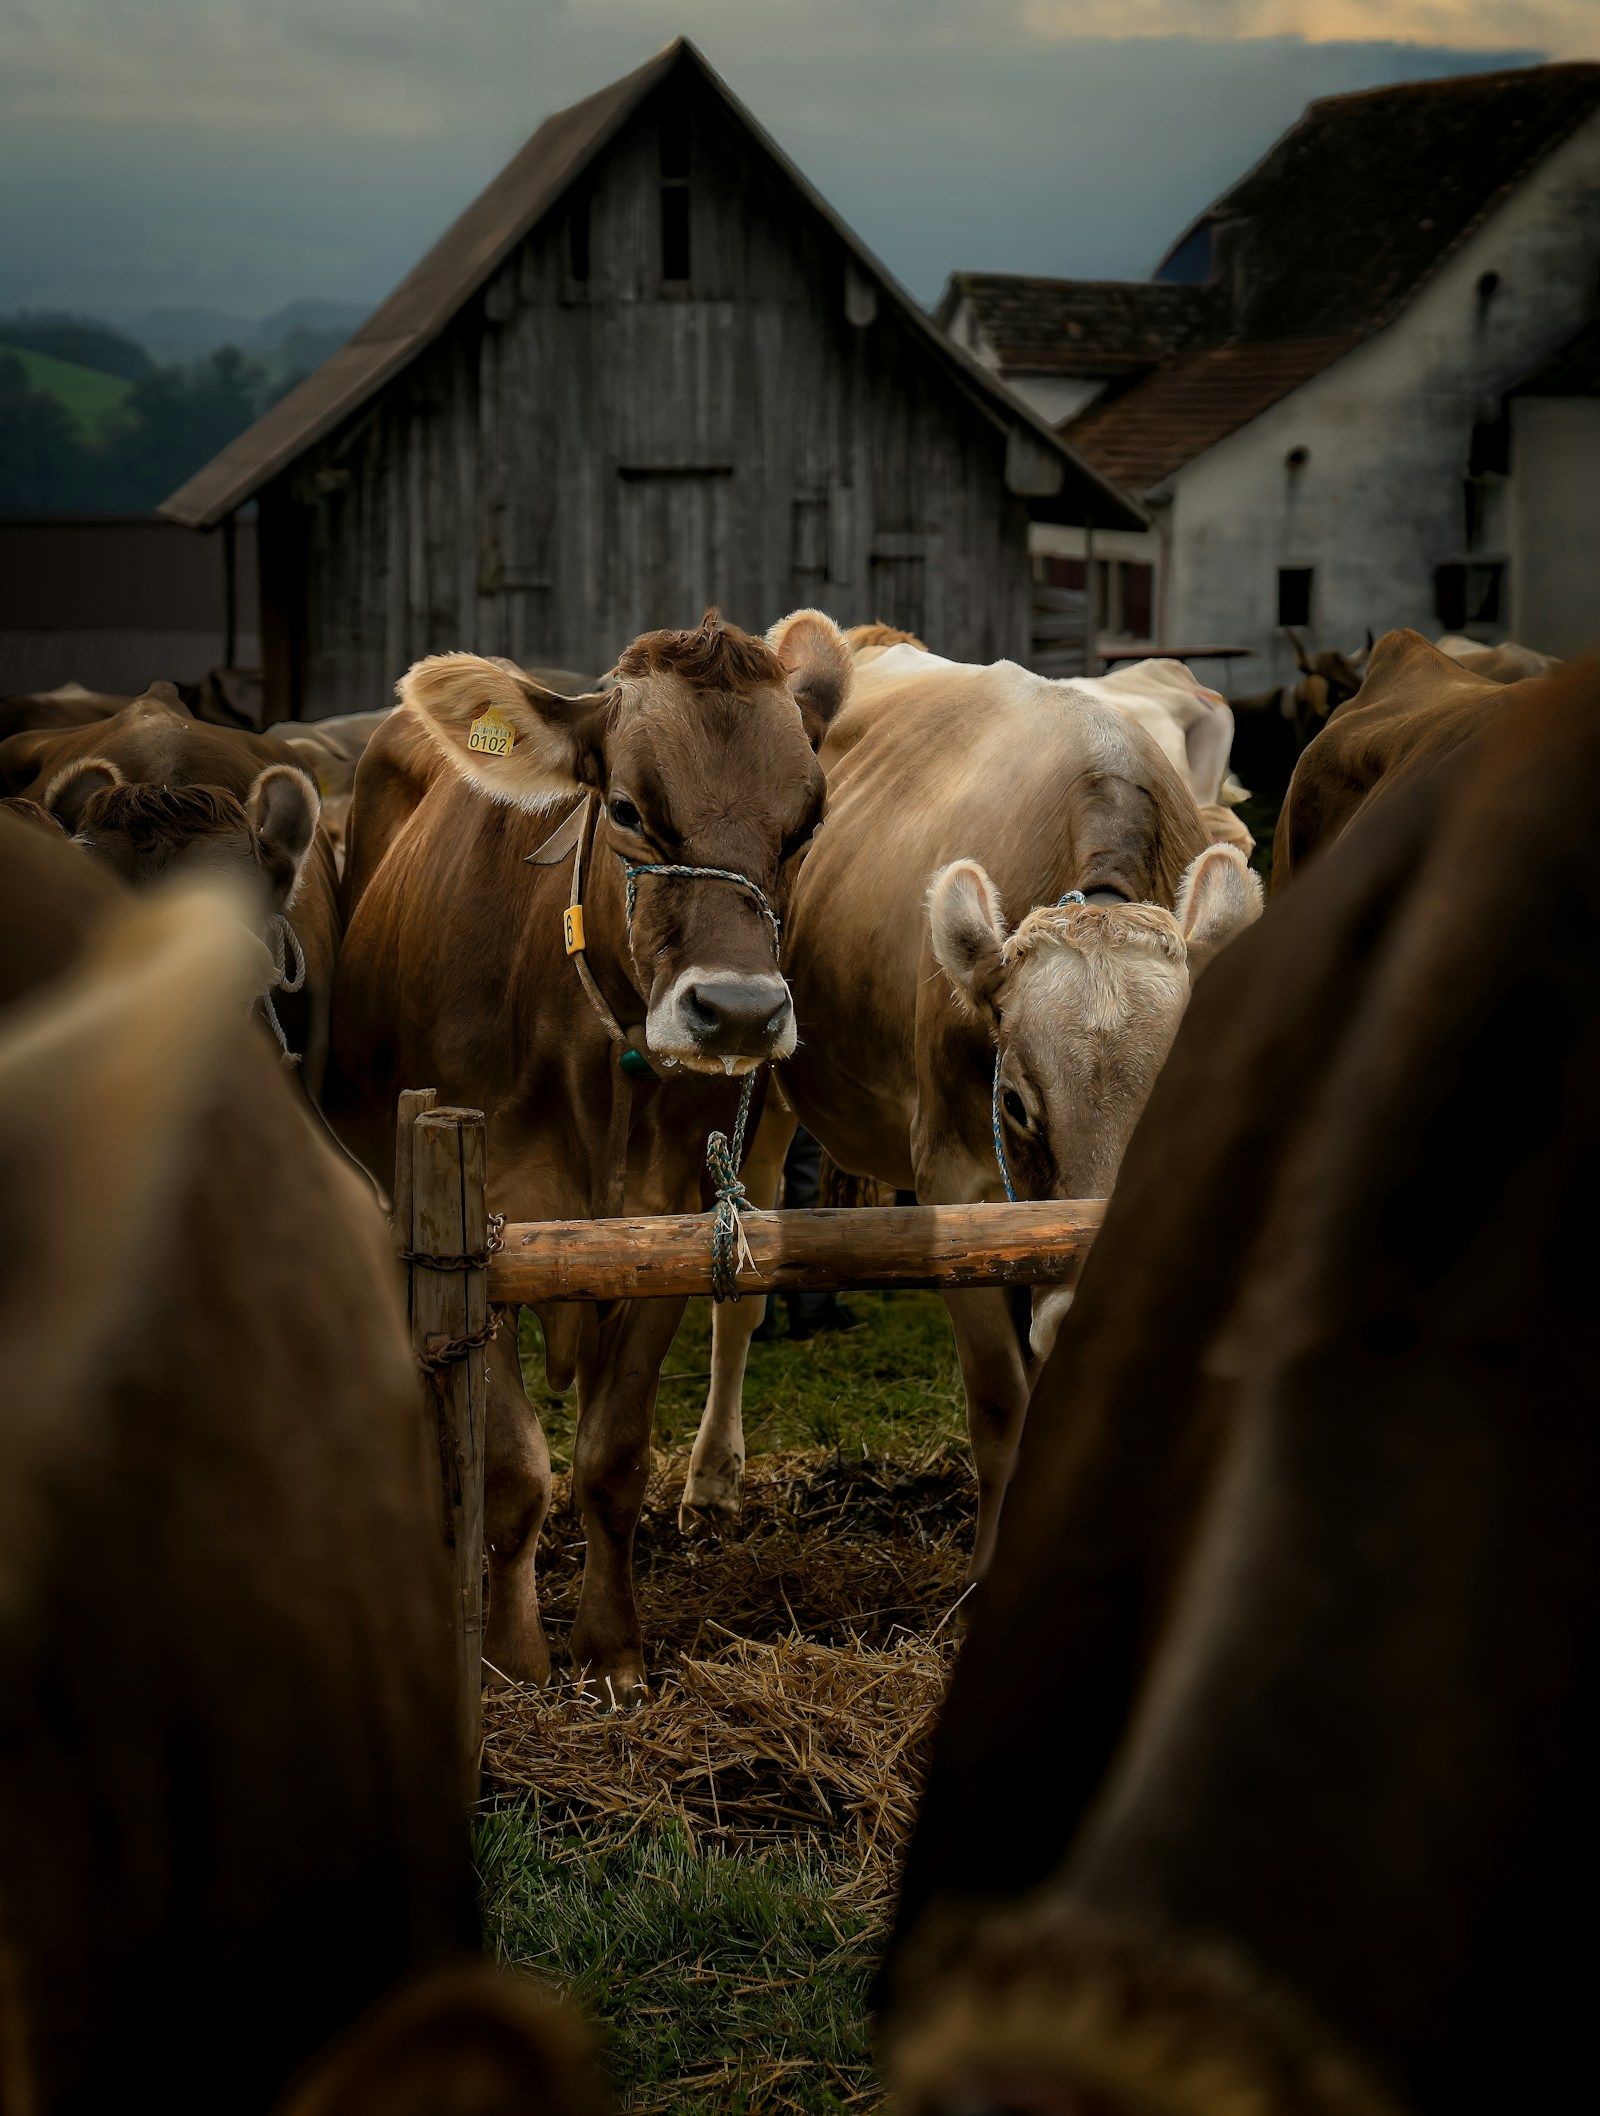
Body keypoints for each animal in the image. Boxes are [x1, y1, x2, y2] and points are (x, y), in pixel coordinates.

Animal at [327, 610, 844, 1700]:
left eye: (806, 823)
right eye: (631, 808)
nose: (738, 1011)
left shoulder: (670, 1229)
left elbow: (610, 1458)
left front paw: (610, 1651)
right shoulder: (475, 1227)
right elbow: (514, 1466)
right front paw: (514, 1659)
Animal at [683, 633, 1262, 1574]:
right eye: (1017, 1104)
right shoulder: (956, 1186)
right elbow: (999, 1406)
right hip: (758, 1073)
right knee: (743, 1278)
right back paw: (712, 1481)